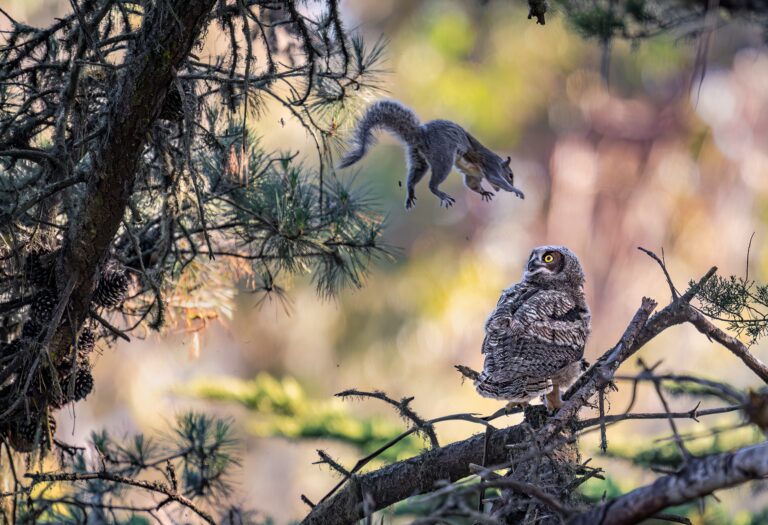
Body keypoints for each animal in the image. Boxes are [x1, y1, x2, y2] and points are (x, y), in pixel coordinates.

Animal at [337, 100, 524, 209]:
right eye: (510, 174)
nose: (511, 182)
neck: (497, 162)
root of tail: (420, 135)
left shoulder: (473, 176)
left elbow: (472, 184)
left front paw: (484, 192)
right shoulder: (491, 167)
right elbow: (495, 179)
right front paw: (516, 190)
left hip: (418, 159)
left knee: (413, 177)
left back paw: (410, 193)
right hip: (443, 159)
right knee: (432, 184)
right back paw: (440, 193)